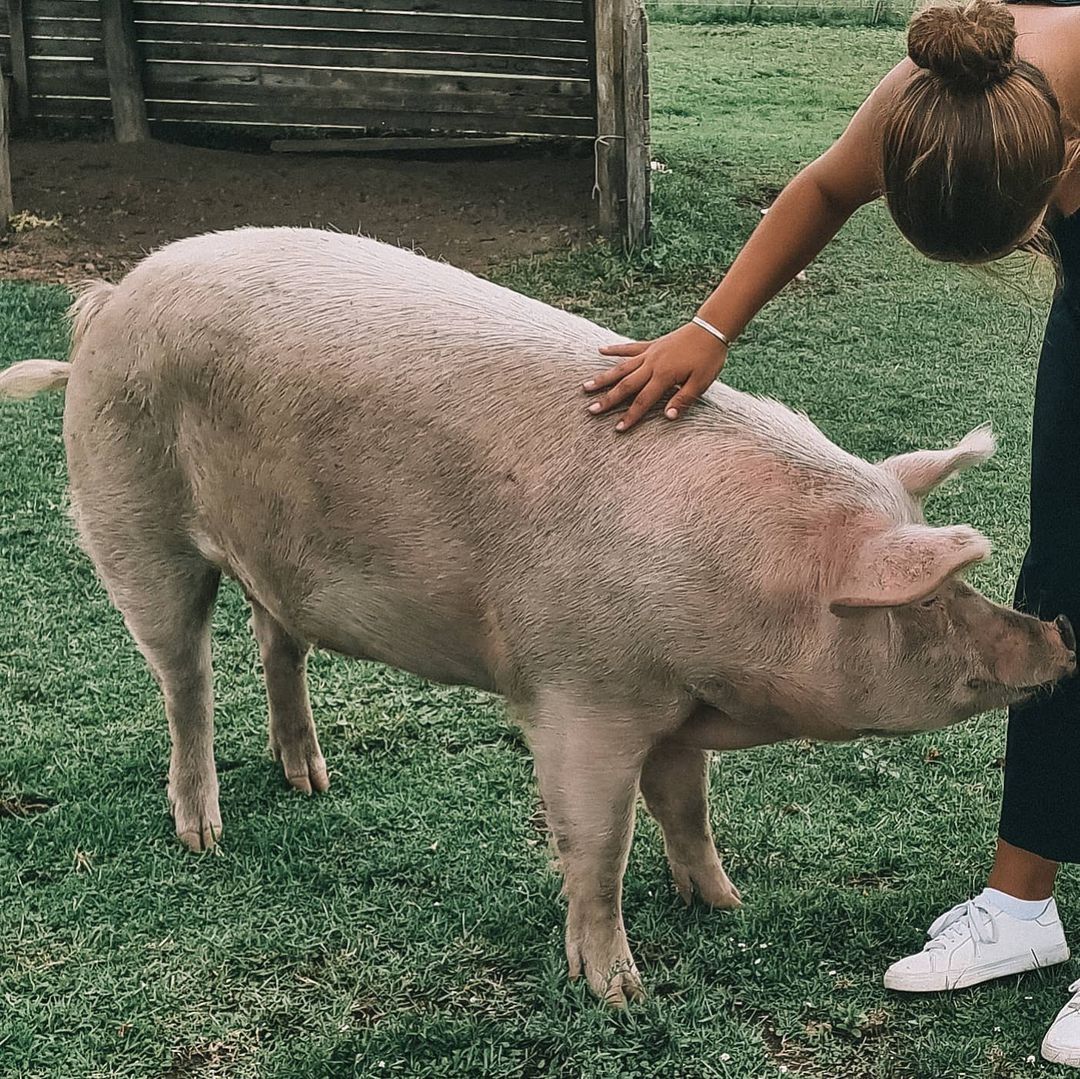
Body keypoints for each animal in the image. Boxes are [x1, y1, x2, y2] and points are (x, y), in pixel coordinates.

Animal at [0, 227, 1074, 1006]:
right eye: (929, 598)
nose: (1057, 635)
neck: (730, 605)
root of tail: (106, 304)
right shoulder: (580, 693)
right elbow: (597, 843)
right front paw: (621, 993)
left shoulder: (673, 712)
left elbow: (688, 809)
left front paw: (726, 904)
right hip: (134, 521)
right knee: (183, 676)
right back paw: (204, 834)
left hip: (274, 558)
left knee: (278, 640)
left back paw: (312, 780)